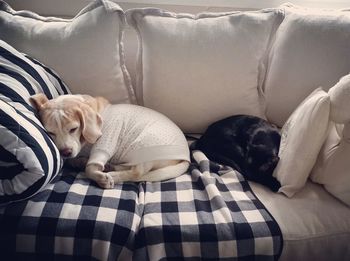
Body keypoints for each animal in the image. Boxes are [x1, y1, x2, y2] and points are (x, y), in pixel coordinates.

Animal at [29, 93, 189, 187]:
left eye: (73, 129)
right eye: (50, 133)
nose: (65, 152)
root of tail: (185, 156)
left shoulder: (105, 144)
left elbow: (90, 168)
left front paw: (100, 177)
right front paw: (79, 162)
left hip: (144, 145)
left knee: (137, 172)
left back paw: (112, 174)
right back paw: (109, 167)